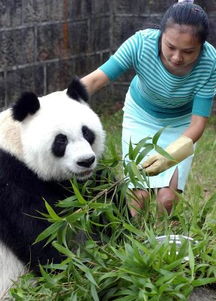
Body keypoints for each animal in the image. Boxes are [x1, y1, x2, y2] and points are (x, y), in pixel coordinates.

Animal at [0, 76, 105, 296]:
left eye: (87, 132)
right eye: (61, 140)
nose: (86, 161)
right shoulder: (8, 179)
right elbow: (39, 234)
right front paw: (75, 274)